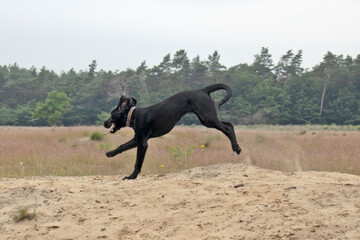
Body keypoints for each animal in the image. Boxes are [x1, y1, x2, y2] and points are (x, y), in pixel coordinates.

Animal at [102, 83, 240, 179]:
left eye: (112, 114)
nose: (104, 123)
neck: (133, 115)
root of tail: (203, 90)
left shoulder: (142, 143)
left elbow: (137, 163)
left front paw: (131, 176)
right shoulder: (137, 139)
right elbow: (122, 146)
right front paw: (110, 153)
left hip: (207, 118)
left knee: (227, 128)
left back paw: (237, 148)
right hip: (207, 118)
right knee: (230, 124)